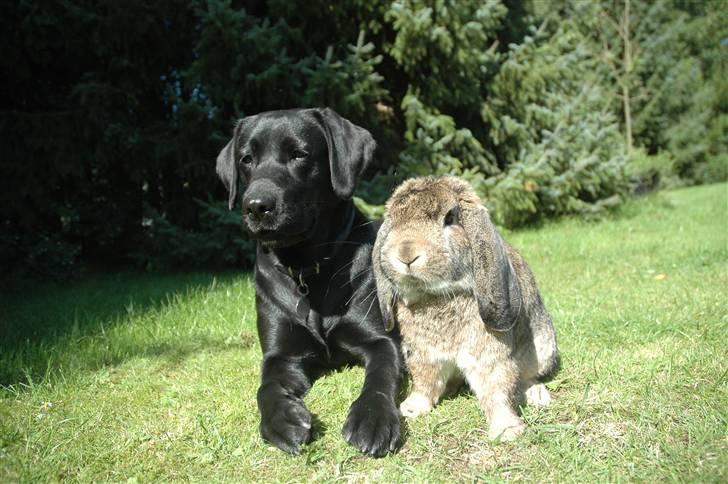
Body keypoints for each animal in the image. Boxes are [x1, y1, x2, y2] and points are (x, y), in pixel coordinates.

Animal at [215, 108, 404, 456]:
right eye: (246, 159)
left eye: (299, 154)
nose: (256, 206)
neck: (306, 268)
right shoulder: (280, 355)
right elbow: (266, 387)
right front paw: (282, 419)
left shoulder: (381, 341)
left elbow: (380, 376)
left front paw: (373, 418)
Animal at [372, 176, 560, 440]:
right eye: (393, 221)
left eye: (450, 217)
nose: (406, 253)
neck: (436, 295)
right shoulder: (422, 355)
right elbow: (424, 382)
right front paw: (411, 409)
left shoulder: (490, 356)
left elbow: (496, 389)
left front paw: (506, 430)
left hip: (542, 350)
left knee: (525, 378)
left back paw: (538, 396)